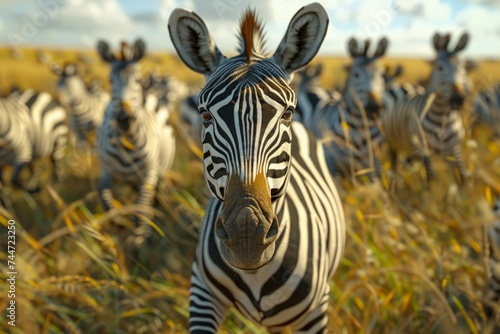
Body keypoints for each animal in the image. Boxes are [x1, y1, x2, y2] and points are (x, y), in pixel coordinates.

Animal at [95, 38, 176, 232]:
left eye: (137, 80)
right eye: (110, 81)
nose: (124, 119)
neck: (127, 144)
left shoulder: (149, 175)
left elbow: (141, 214)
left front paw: (139, 236)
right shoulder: (105, 169)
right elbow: (105, 197)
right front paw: (118, 221)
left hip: (161, 171)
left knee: (155, 196)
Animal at [168, 3, 344, 332]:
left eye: (287, 113)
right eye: (205, 115)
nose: (247, 234)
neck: (255, 274)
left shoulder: (315, 313)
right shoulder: (202, 292)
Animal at [382, 32, 472, 184]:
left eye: (463, 68)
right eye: (440, 68)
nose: (458, 99)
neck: (442, 117)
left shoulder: (454, 147)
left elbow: (462, 177)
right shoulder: (421, 146)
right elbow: (432, 178)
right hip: (392, 141)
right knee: (394, 164)